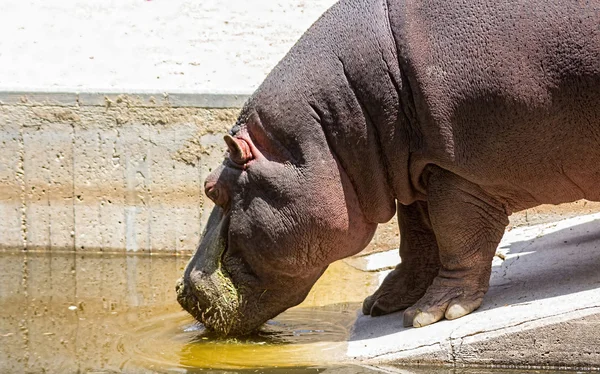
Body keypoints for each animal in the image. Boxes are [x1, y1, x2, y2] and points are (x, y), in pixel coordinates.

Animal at [175, 0, 600, 336]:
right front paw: (381, 302)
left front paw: (431, 314)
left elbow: (456, 235)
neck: (332, 125)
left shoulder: (460, 172)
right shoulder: (418, 168)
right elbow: (417, 237)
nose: (183, 293)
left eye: (211, 188)